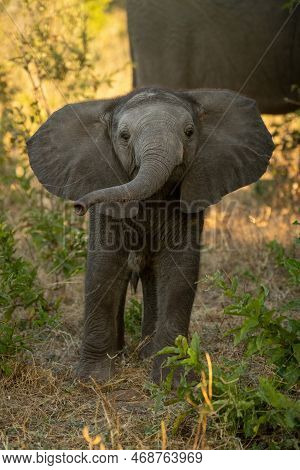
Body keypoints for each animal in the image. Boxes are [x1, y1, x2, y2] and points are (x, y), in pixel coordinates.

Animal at [26, 87, 274, 382]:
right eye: (124, 137)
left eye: (189, 132)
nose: (79, 207)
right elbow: (103, 268)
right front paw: (92, 379)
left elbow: (179, 271)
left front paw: (171, 380)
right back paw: (122, 355)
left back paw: (145, 354)